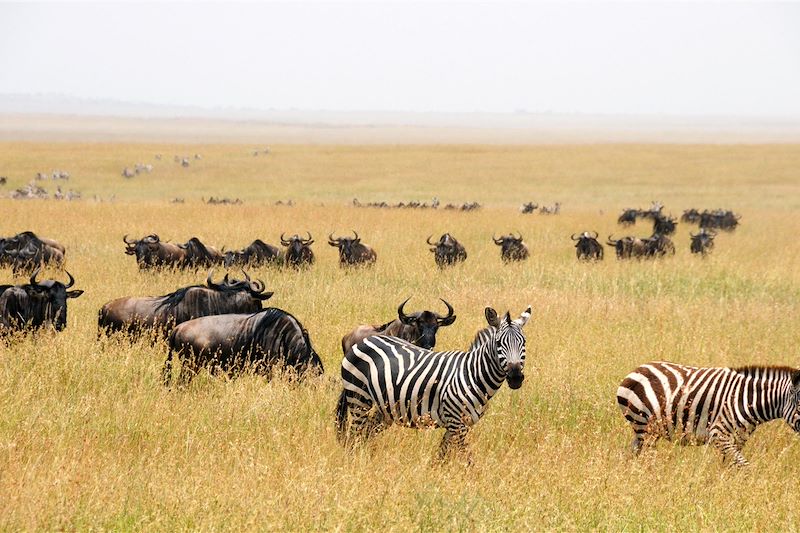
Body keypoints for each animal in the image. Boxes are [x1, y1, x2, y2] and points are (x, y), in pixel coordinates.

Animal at [336, 306, 532, 460]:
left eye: (524, 342)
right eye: (498, 343)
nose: (515, 377)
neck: (472, 375)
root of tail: (364, 340)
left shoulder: (459, 425)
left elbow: (442, 455)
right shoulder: (456, 423)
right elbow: (466, 457)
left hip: (384, 408)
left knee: (367, 433)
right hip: (358, 398)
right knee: (356, 434)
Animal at [620, 362, 800, 466]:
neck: (746, 400)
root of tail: (636, 370)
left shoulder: (738, 439)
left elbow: (729, 465)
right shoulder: (719, 434)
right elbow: (744, 465)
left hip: (647, 430)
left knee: (634, 453)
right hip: (644, 426)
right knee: (646, 457)